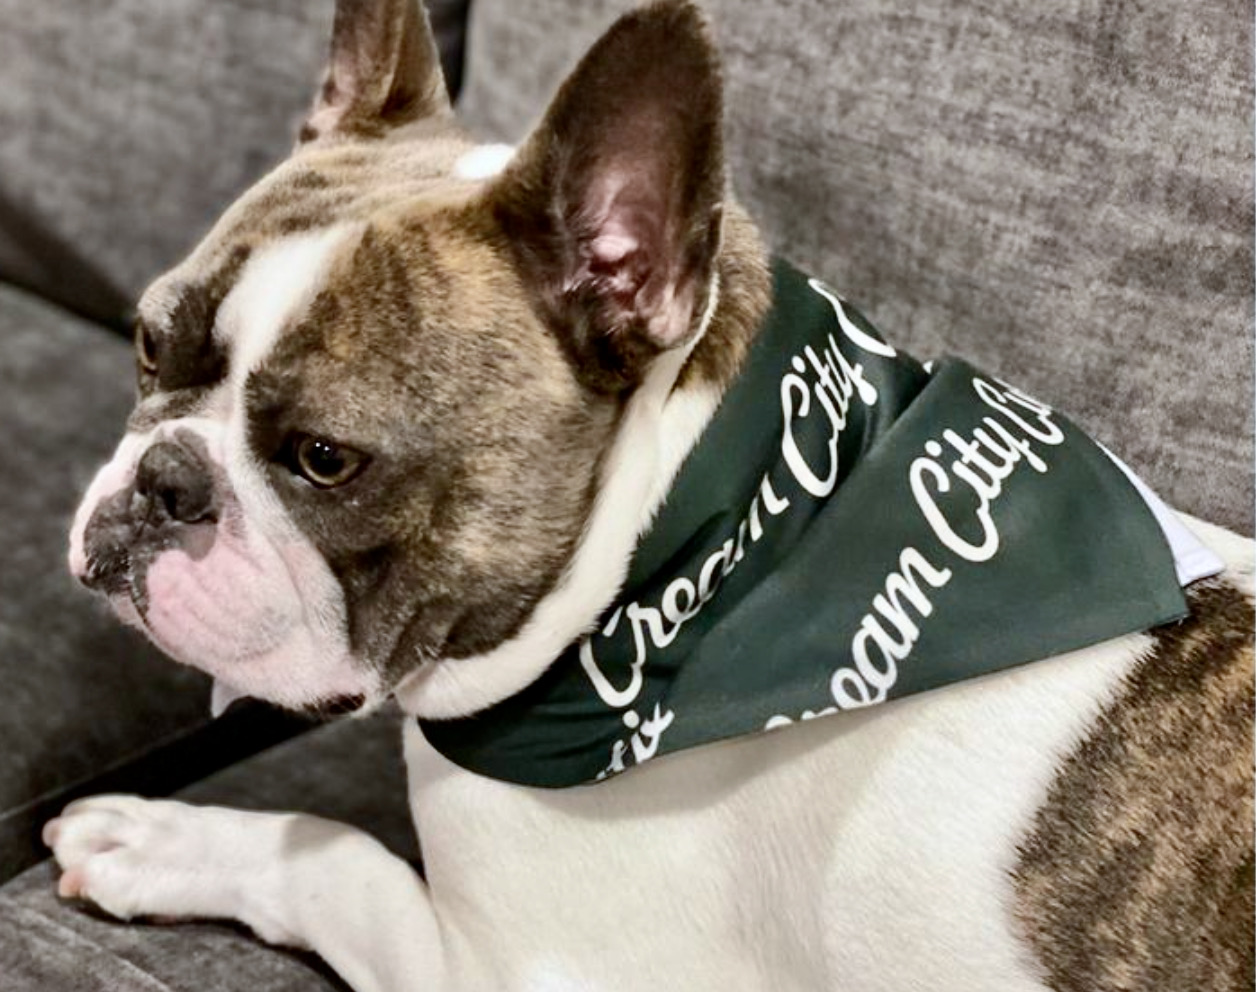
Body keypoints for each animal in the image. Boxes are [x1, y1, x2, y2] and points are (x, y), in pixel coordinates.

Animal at [44, 0, 1250, 989]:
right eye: (149, 342)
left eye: (325, 458)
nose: (161, 481)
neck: (699, 553)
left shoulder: (503, 968)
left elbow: (334, 855)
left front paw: (158, 839)